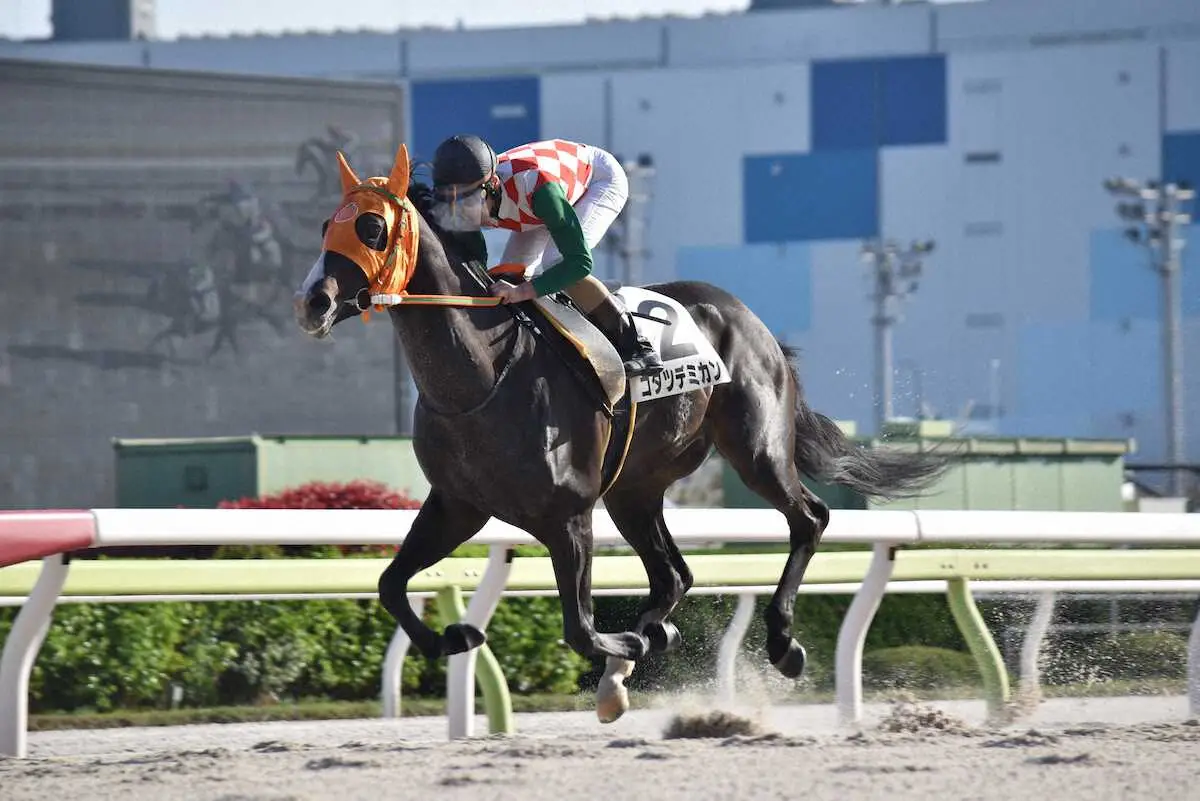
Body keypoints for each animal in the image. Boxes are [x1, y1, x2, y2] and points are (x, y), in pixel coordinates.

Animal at [292, 141, 949, 722]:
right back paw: (627, 671)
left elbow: (580, 629)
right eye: (327, 224)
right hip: (634, 489)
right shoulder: (458, 506)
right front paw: (455, 637)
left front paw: (631, 645)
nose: (312, 302)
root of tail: (748, 316)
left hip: (755, 449)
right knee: (674, 575)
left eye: (372, 228)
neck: (481, 377)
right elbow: (389, 583)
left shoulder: (568, 515)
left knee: (807, 518)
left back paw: (779, 644)